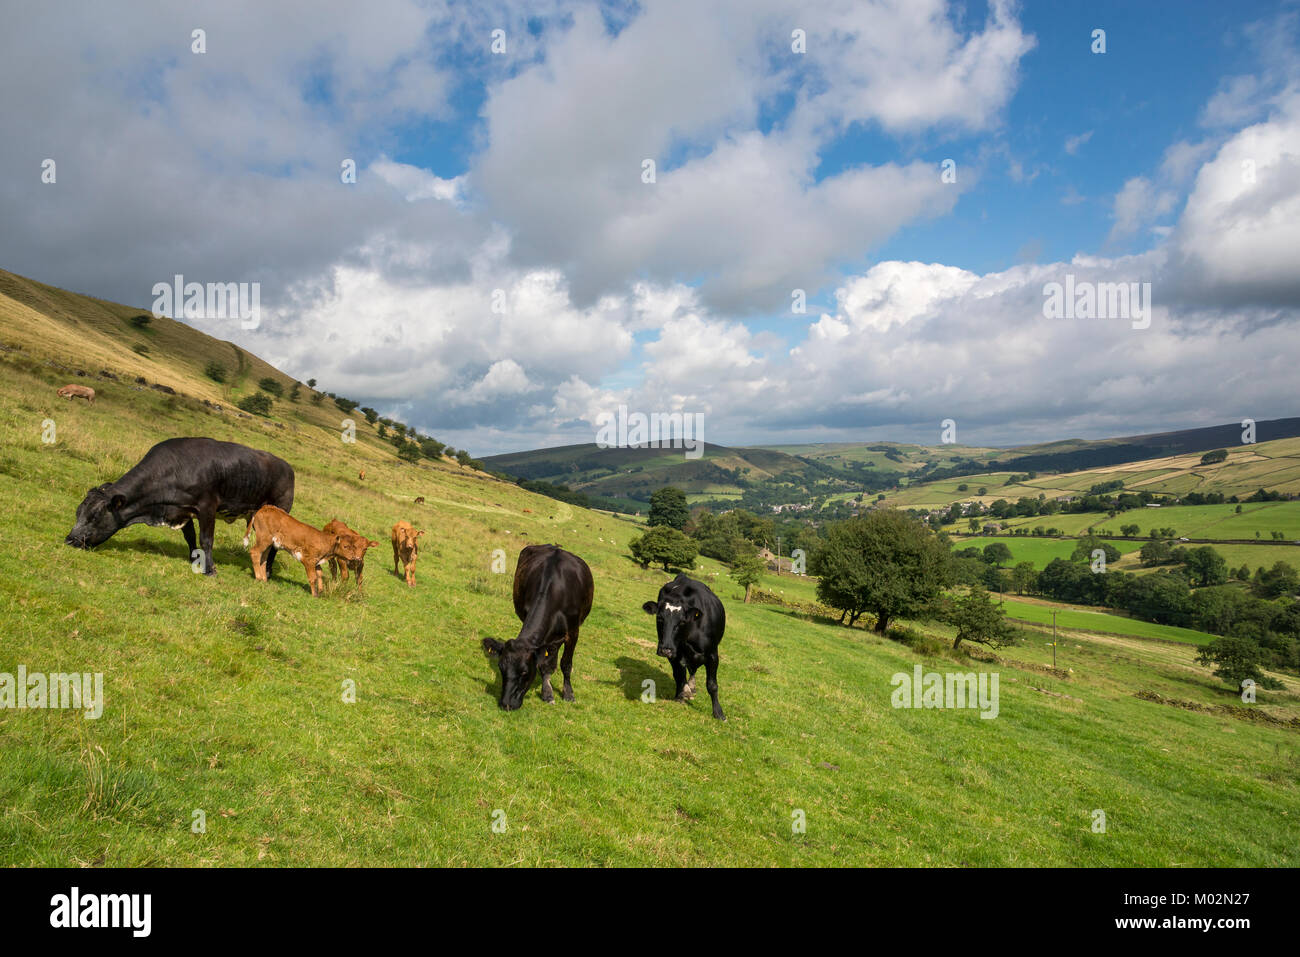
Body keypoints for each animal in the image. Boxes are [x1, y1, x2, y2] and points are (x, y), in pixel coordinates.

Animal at [65, 434, 295, 574]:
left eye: (94, 516)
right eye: (78, 512)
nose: (70, 540)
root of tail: (287, 467)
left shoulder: (207, 507)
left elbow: (206, 540)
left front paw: (209, 569)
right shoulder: (182, 510)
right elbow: (191, 538)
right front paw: (194, 559)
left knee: (276, 546)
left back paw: (268, 570)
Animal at [483, 546, 595, 712]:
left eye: (524, 672)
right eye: (501, 668)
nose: (506, 704)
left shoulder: (573, 632)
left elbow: (566, 664)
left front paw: (568, 694)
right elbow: (544, 664)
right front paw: (547, 693)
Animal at [642, 574, 728, 717]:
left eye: (682, 621)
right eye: (659, 618)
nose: (665, 650)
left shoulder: (713, 655)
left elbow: (712, 685)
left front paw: (718, 713)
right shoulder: (674, 653)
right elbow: (679, 675)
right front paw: (681, 695)